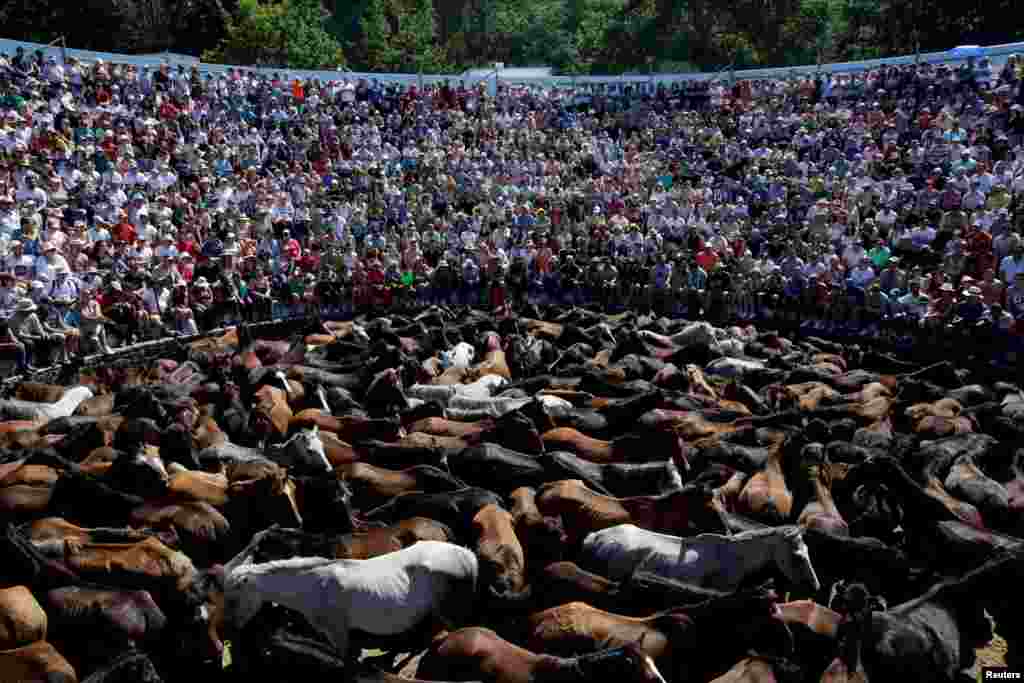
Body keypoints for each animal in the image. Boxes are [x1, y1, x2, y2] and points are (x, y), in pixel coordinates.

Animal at [222, 536, 477, 659]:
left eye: (233, 598)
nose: (233, 629)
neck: (311, 586)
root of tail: (466, 555)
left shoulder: (338, 631)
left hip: (449, 612)